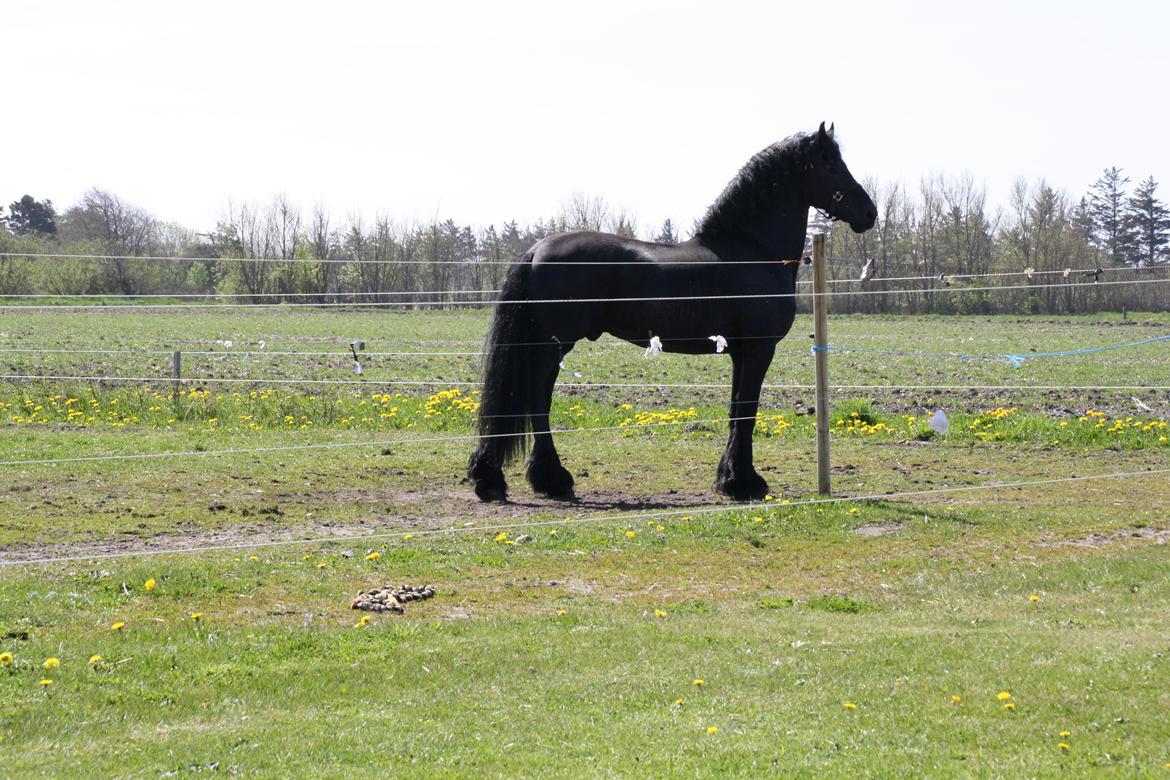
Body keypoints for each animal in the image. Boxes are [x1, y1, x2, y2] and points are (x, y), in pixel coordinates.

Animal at [463, 122, 870, 500]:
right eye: (831, 164)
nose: (870, 212)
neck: (751, 250)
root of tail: (535, 251)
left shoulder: (740, 352)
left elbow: (736, 409)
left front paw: (728, 479)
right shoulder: (759, 348)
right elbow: (747, 411)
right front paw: (744, 483)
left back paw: (504, 478)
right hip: (553, 345)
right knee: (538, 400)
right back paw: (550, 479)